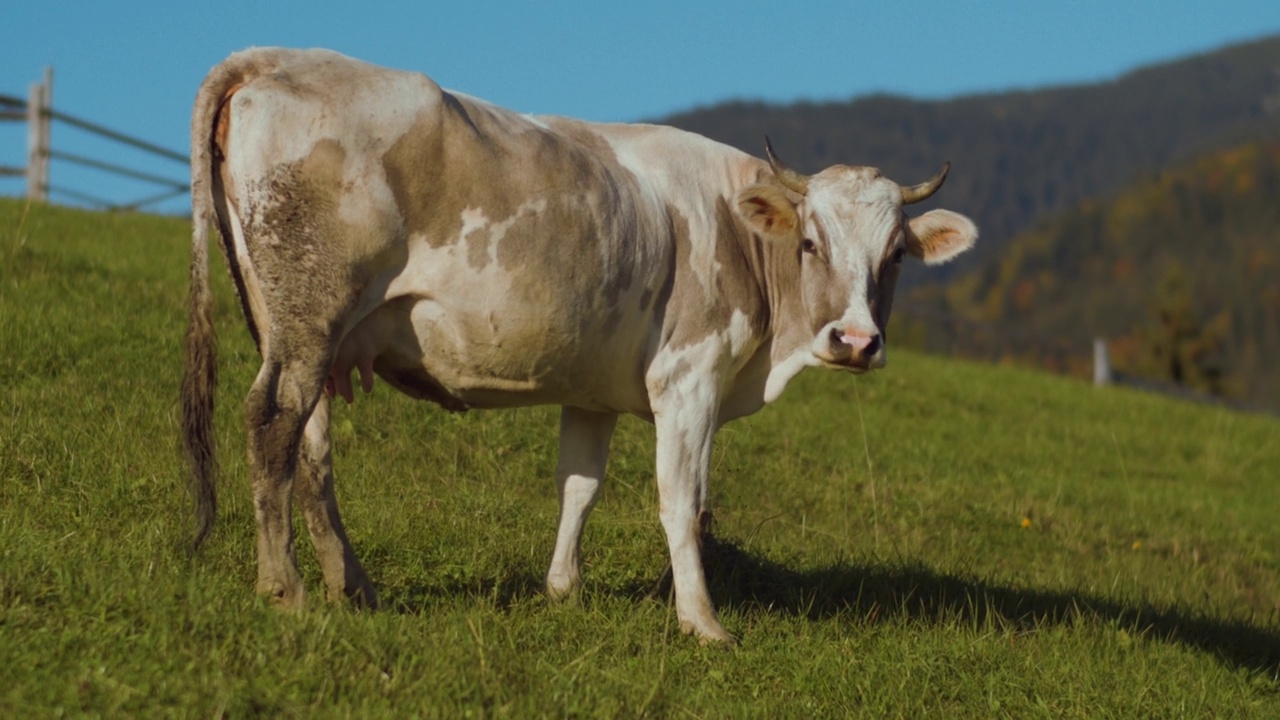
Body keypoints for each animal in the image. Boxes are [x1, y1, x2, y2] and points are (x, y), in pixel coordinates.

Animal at [185, 47, 972, 640]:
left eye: (895, 256)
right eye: (811, 242)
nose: (856, 340)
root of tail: (280, 57)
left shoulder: (595, 390)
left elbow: (580, 486)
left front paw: (563, 590)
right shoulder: (688, 378)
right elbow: (684, 500)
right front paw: (702, 621)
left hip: (300, 330)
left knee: (310, 448)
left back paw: (351, 586)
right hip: (310, 314)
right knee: (271, 424)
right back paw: (284, 589)